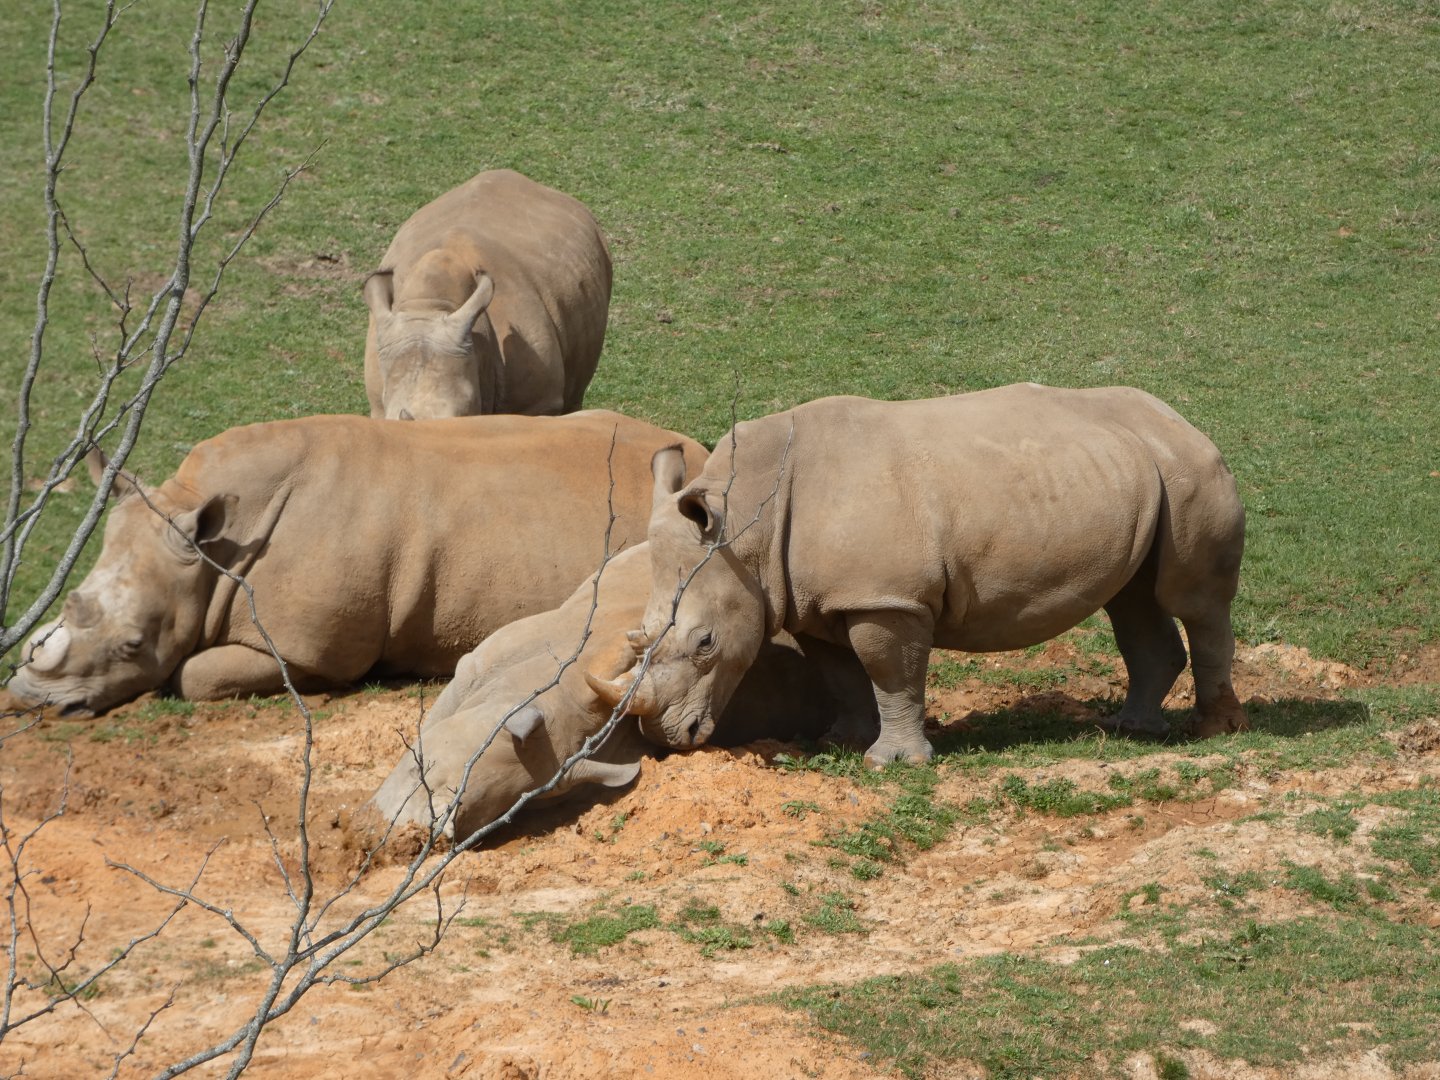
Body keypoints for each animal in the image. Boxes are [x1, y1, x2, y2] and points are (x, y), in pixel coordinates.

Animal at [6, 412, 706, 717]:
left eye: (133, 645)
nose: (30, 698)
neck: (215, 549)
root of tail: (703, 455)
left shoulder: (307, 649)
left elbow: (194, 675)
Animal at [586, 384, 1249, 769]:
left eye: (705, 644)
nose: (669, 738)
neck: (748, 523)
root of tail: (1178, 416)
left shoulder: (886, 597)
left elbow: (889, 673)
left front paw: (894, 763)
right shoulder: (821, 600)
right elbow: (841, 673)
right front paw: (843, 743)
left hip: (1190, 468)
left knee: (1192, 597)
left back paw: (1213, 731)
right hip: (1130, 470)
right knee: (1133, 598)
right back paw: (1131, 730)